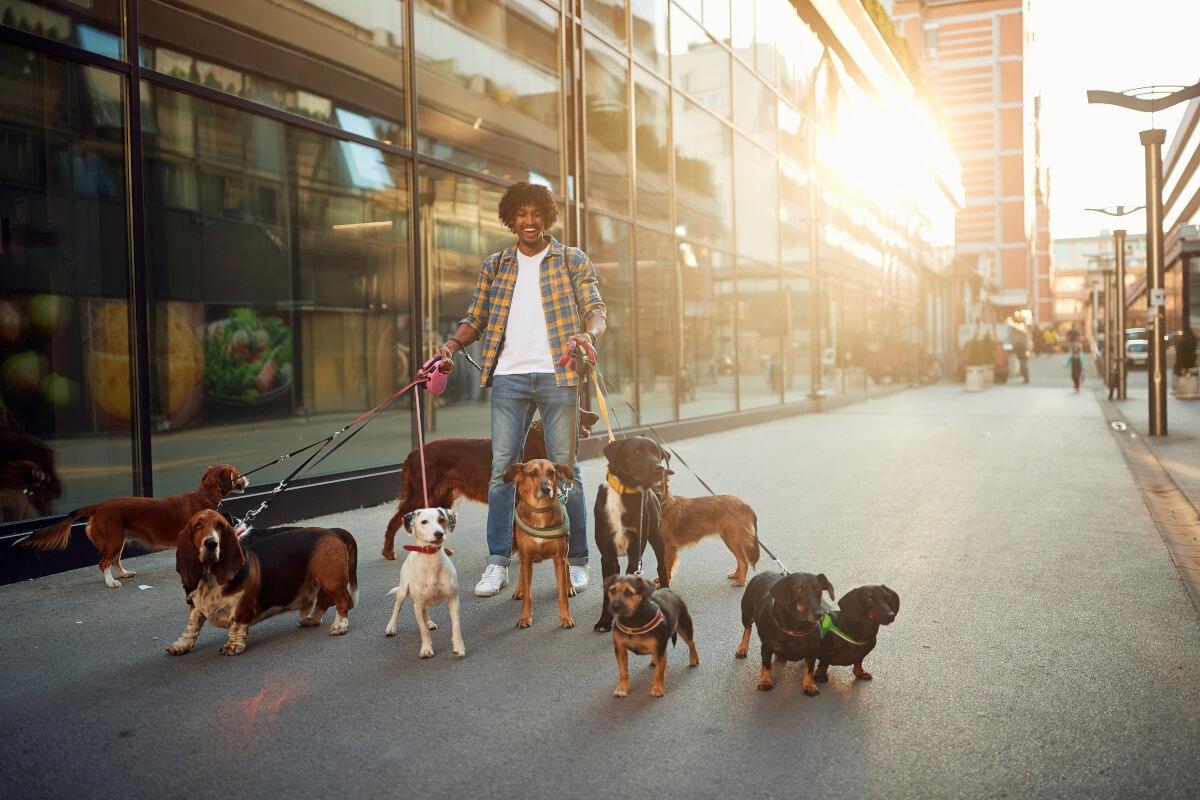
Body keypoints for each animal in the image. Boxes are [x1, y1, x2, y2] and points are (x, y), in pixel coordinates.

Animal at [20, 462, 246, 587]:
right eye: (237, 474)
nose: (247, 481)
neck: (204, 495)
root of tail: (99, 506)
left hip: (118, 540)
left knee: (114, 561)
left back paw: (123, 573)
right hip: (113, 540)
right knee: (103, 563)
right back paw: (112, 582)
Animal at [381, 410, 597, 561]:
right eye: (579, 410)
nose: (594, 416)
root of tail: (414, 453)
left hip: (441, 496)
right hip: (421, 493)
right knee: (395, 520)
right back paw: (388, 551)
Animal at [506, 460, 576, 628]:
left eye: (551, 472)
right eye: (532, 473)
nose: (547, 489)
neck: (540, 512)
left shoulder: (559, 558)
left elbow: (562, 594)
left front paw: (566, 618)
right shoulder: (526, 557)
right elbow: (527, 595)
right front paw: (524, 617)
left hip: (566, 549)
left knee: (567, 566)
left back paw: (570, 587)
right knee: (522, 572)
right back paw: (519, 589)